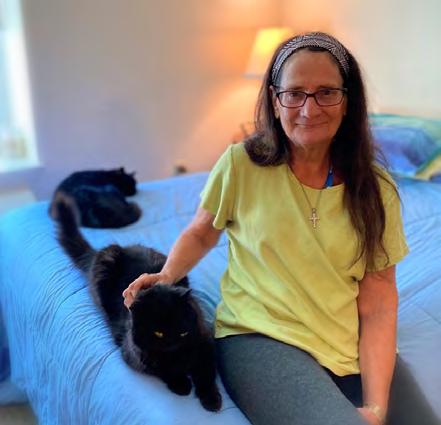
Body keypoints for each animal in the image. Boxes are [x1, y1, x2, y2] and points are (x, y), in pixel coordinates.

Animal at [53, 194, 222, 412]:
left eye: (183, 332)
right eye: (158, 333)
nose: (173, 343)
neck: (177, 356)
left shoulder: (205, 343)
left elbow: (206, 374)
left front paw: (212, 400)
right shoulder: (134, 355)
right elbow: (163, 370)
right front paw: (181, 384)